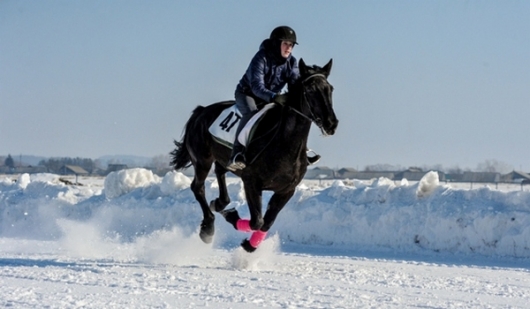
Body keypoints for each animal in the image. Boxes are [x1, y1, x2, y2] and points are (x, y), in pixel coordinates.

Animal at [170, 59, 338, 251]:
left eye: (330, 89)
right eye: (310, 89)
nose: (331, 123)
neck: (285, 144)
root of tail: (201, 111)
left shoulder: (286, 190)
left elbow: (267, 222)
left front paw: (250, 245)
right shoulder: (251, 182)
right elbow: (257, 221)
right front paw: (232, 217)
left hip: (220, 159)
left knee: (220, 173)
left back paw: (219, 203)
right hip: (202, 160)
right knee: (198, 187)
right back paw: (208, 228)